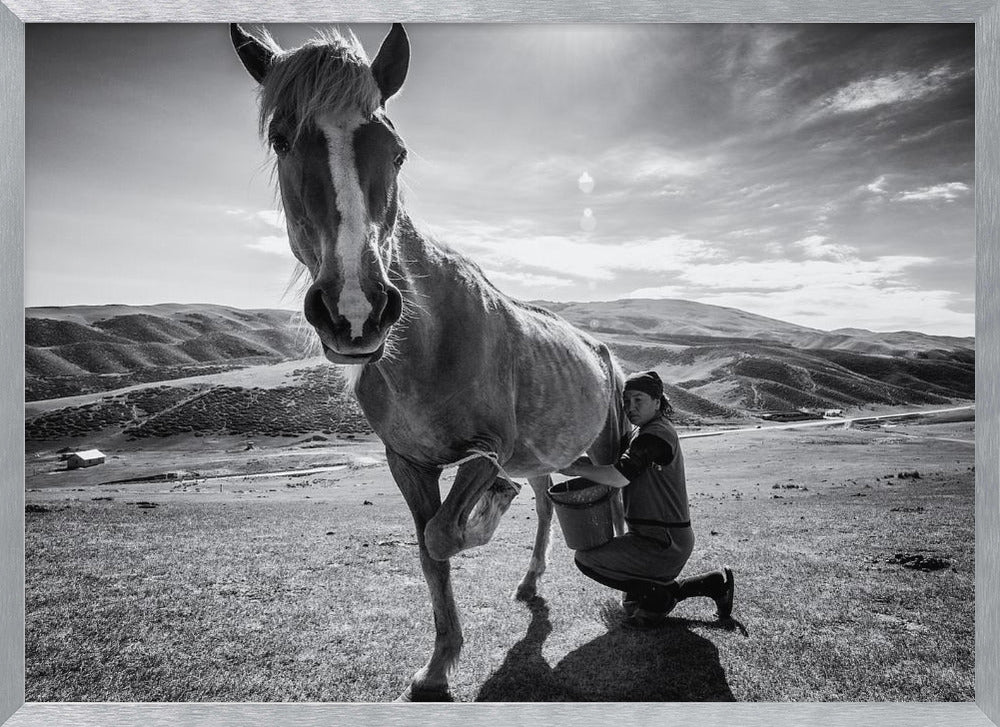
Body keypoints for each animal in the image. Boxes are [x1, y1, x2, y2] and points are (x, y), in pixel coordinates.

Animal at [231, 22, 628, 701]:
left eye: (397, 152)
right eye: (281, 140)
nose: (356, 309)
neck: (427, 344)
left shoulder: (488, 448)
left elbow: (447, 535)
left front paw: (487, 513)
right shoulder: (406, 461)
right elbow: (428, 550)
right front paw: (438, 667)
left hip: (604, 443)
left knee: (619, 498)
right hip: (545, 455)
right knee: (547, 499)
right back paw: (530, 579)